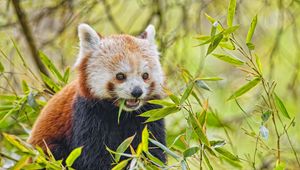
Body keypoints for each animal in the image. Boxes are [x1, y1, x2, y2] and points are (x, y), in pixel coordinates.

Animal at [27, 23, 166, 169]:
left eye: (145, 75)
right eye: (120, 76)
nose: (137, 91)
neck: (121, 113)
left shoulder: (150, 115)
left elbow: (152, 151)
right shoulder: (88, 114)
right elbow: (93, 158)